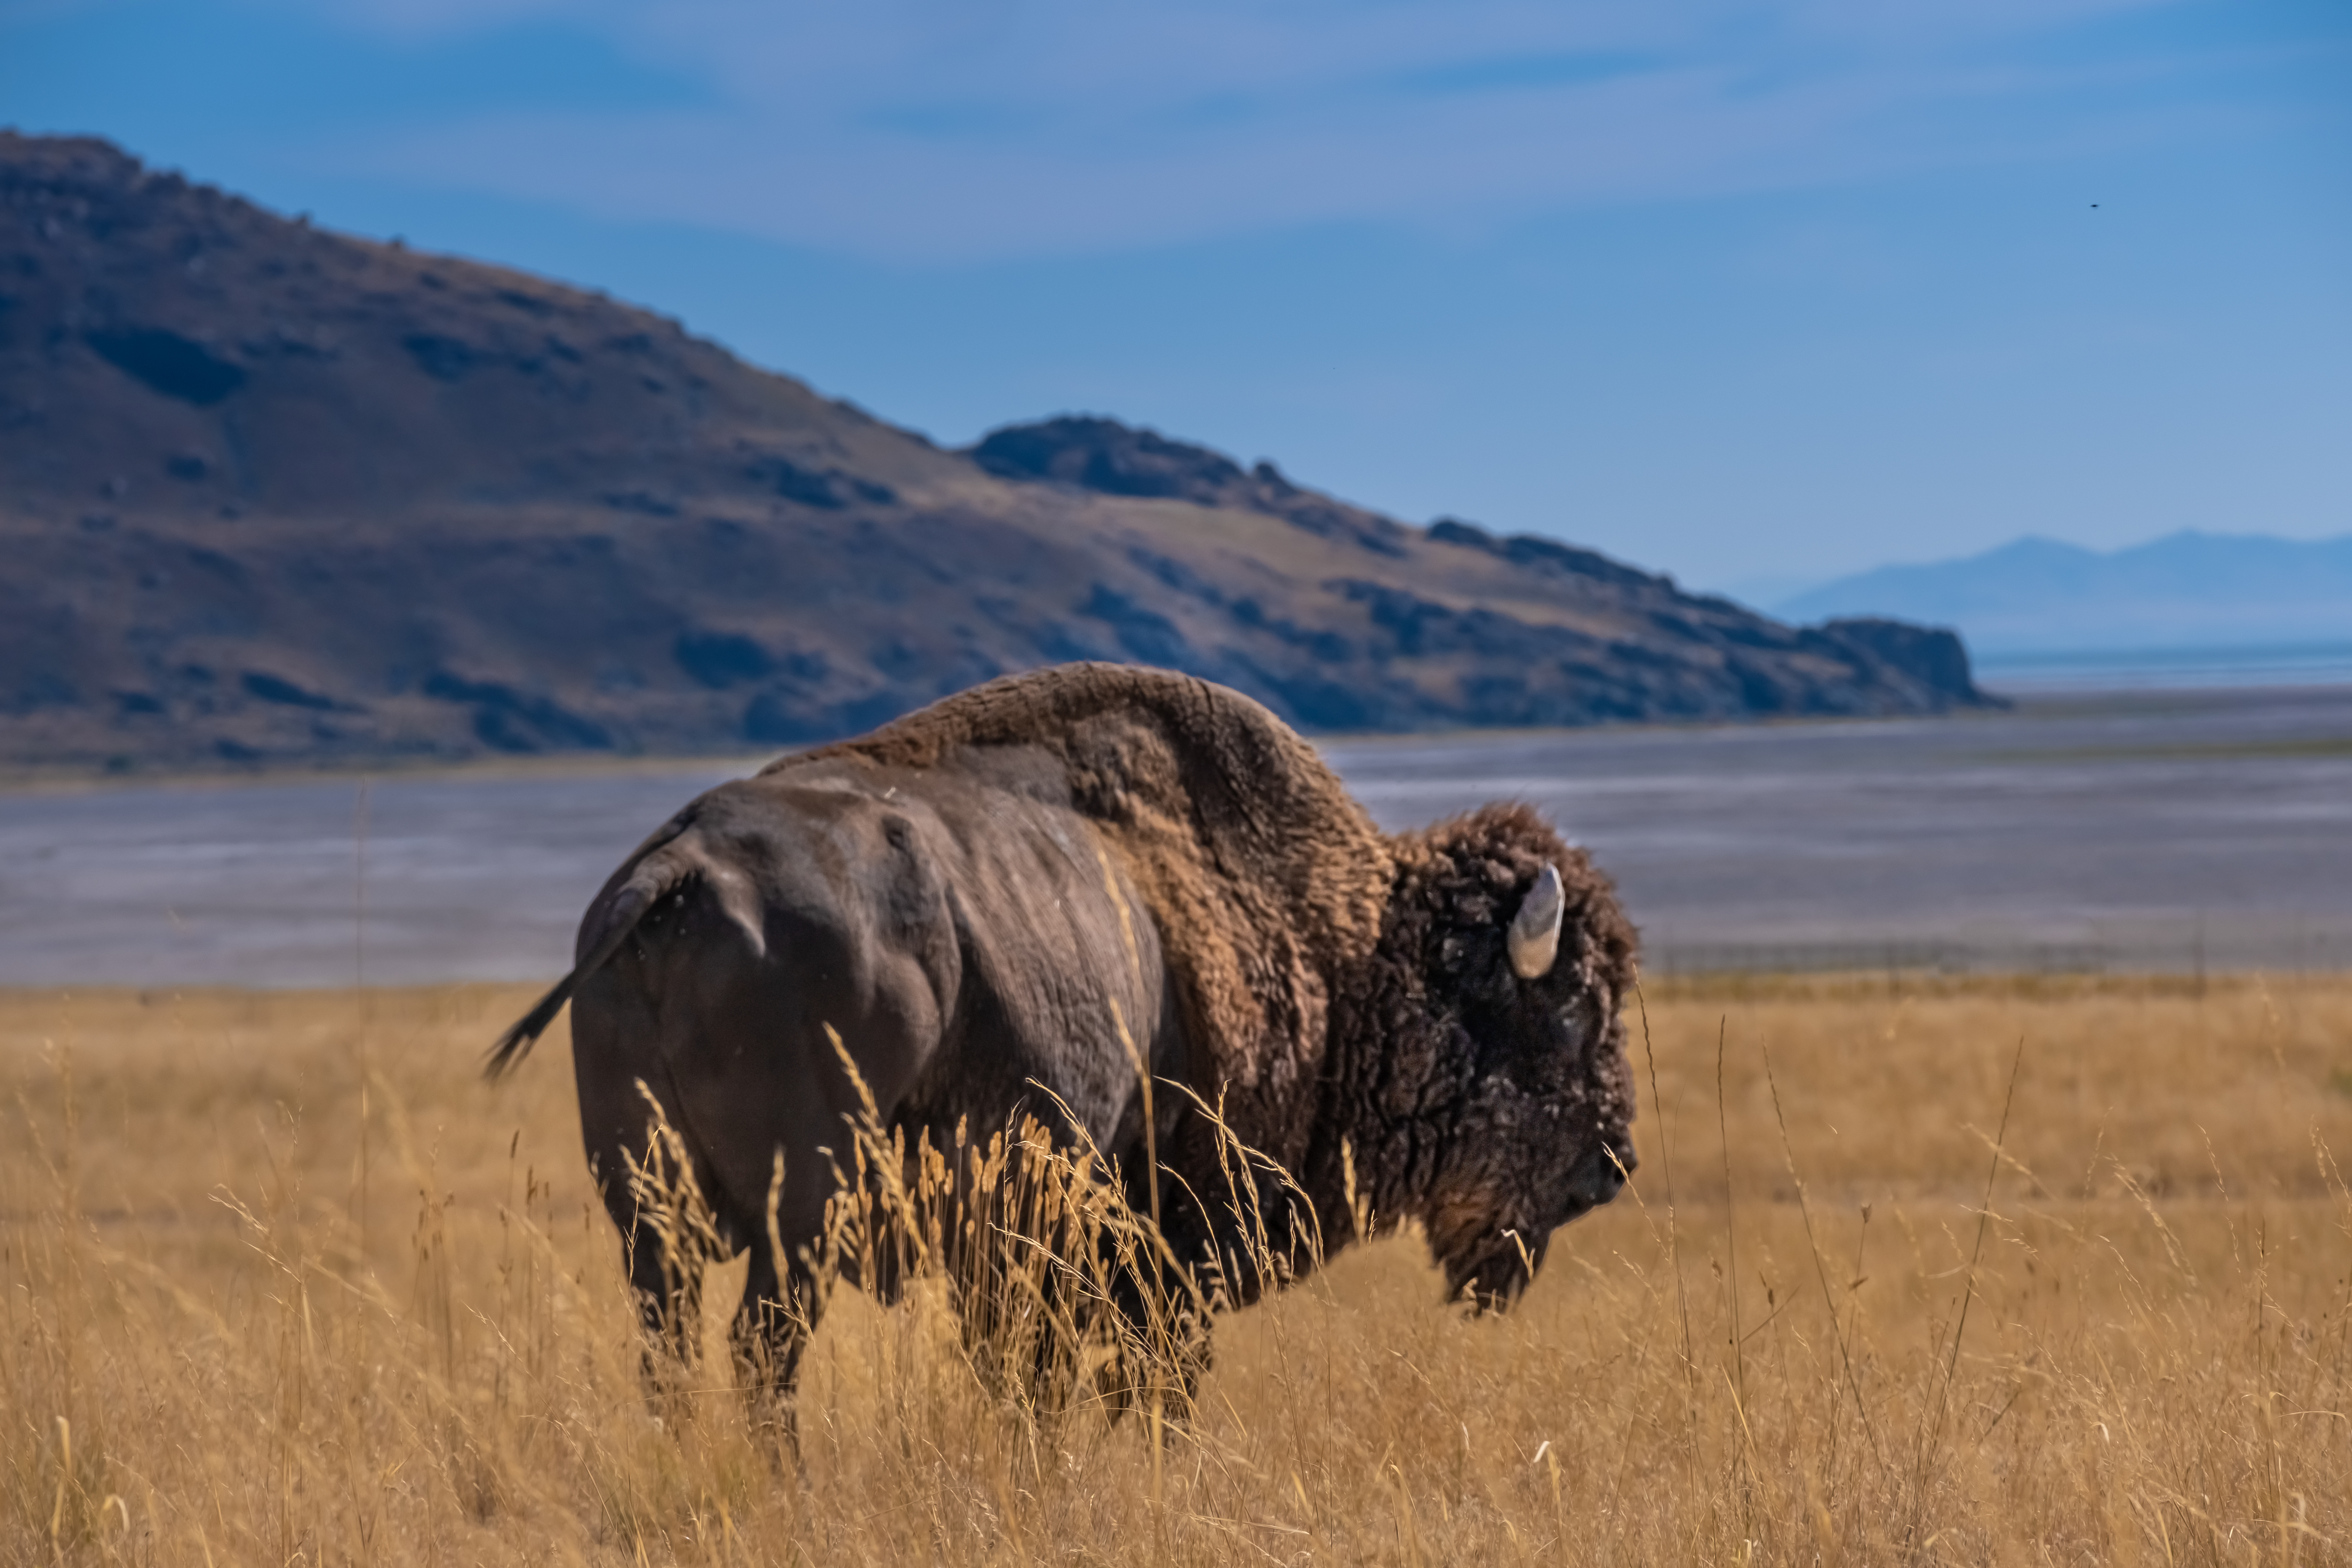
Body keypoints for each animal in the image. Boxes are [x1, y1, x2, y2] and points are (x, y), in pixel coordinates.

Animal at [492, 658, 1637, 1410]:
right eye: (1572, 1009)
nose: (1610, 1167)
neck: (1343, 941)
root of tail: (672, 874)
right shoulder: (1167, 1242)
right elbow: (1132, 1378)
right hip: (802, 1215)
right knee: (761, 1353)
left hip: (652, 1213)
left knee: (674, 1350)